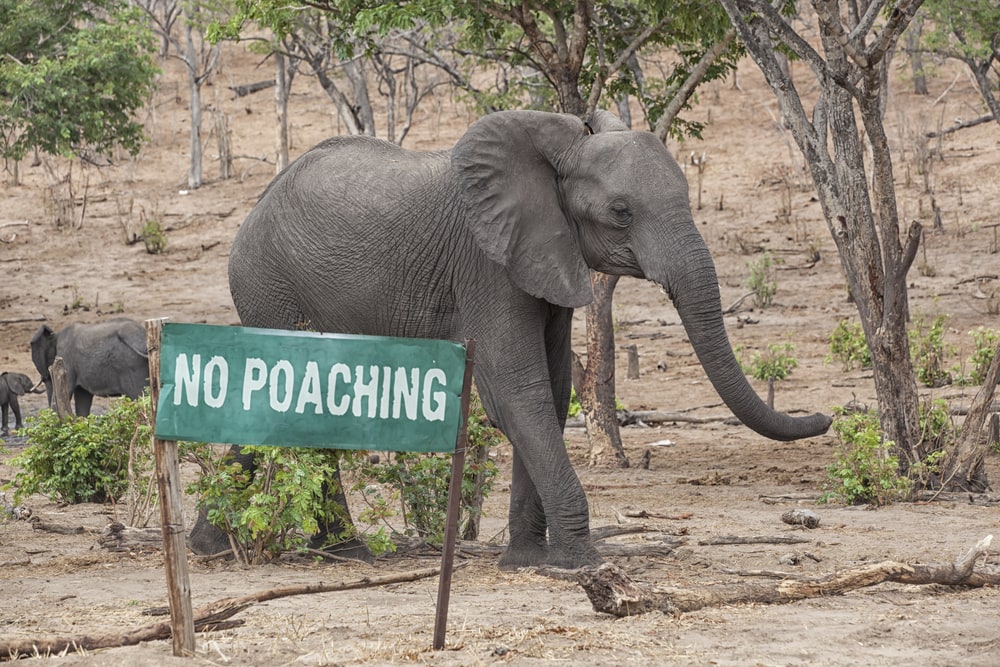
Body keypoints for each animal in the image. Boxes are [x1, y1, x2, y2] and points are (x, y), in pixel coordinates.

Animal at [191, 109, 831, 569]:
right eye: (621, 212)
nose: (826, 418)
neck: (556, 150)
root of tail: (254, 208)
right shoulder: (487, 263)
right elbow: (518, 391)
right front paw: (580, 565)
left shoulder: (547, 260)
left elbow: (551, 388)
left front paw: (525, 561)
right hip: (270, 283)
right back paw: (312, 553)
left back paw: (252, 549)